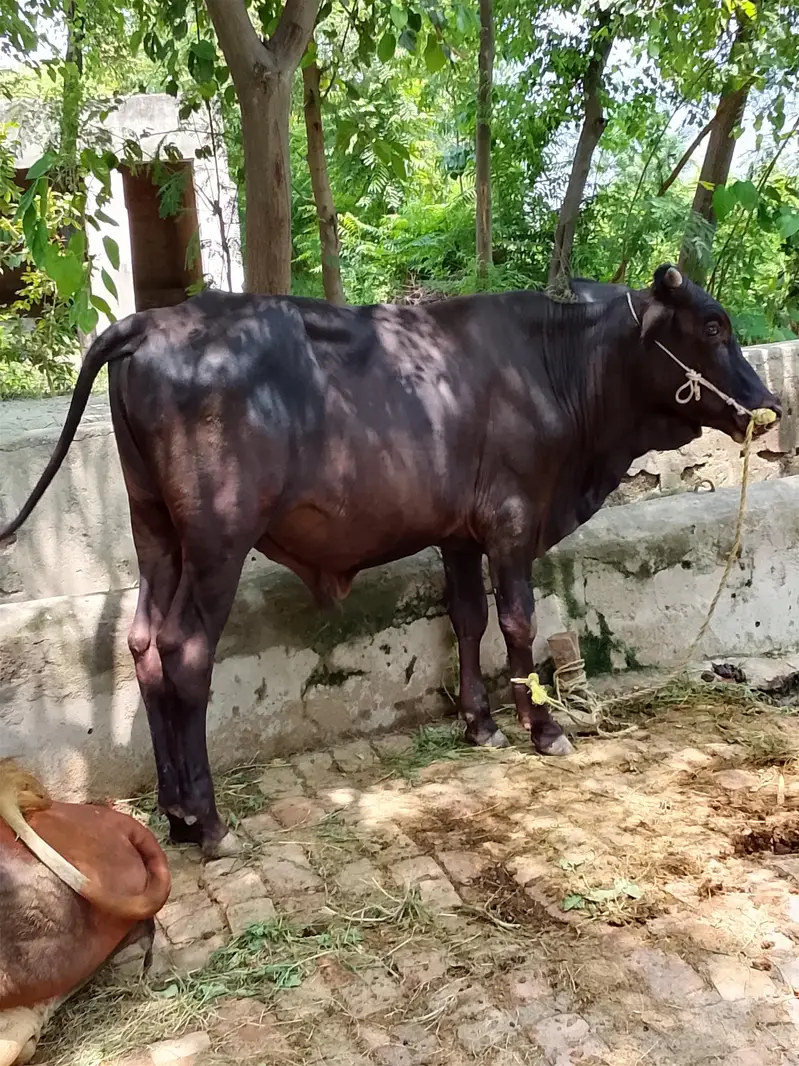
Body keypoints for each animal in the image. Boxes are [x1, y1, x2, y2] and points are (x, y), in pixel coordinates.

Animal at [0, 264, 781, 858]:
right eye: (713, 326)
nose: (769, 403)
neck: (555, 368)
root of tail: (152, 323)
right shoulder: (512, 521)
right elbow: (517, 623)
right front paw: (544, 729)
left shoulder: (459, 533)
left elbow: (467, 619)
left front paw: (479, 723)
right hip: (218, 538)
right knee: (183, 653)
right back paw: (209, 823)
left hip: (154, 529)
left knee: (142, 646)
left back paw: (175, 815)